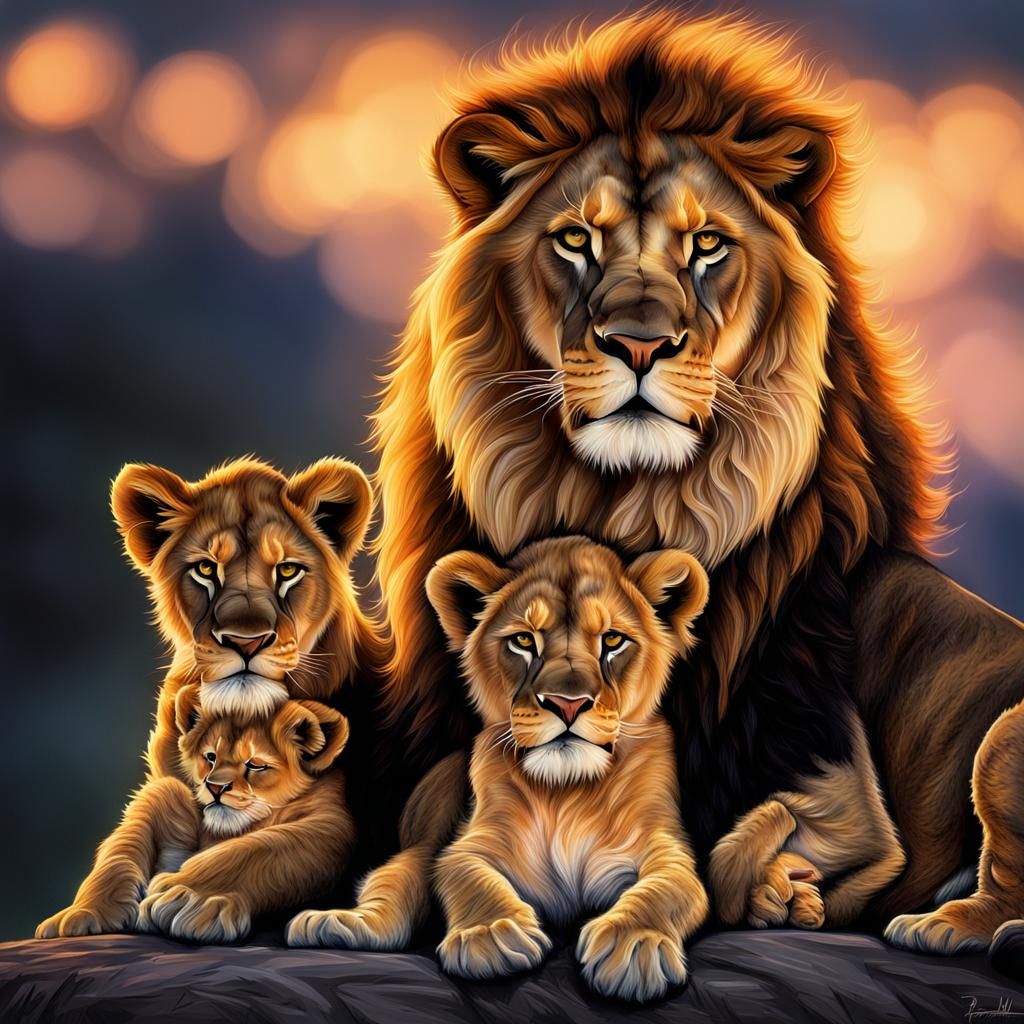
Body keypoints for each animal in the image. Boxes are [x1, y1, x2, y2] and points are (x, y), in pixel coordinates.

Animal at [36, 684, 351, 942]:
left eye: (256, 765)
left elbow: (255, 850)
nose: (215, 787)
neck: (224, 829)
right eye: (210, 757)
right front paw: (81, 912)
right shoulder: (163, 792)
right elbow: (119, 851)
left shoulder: (329, 824)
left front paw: (188, 899)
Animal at [293, 10, 1024, 954]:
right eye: (576, 238)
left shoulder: (841, 787)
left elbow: (745, 846)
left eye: (706, 244)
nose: (640, 343)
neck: (627, 507)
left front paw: (778, 893)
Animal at [428, 537, 709, 1002]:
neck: (567, 794)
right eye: (523, 640)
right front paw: (490, 932)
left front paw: (634, 944)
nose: (568, 703)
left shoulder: (666, 848)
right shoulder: (470, 844)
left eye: (612, 639)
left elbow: (666, 888)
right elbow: (465, 876)